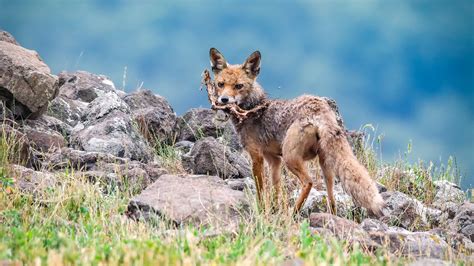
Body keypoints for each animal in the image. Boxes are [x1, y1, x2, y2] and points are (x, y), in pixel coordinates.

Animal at [208, 47, 386, 216]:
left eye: (238, 86)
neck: (252, 108)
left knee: (308, 182)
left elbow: (261, 190)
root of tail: (318, 107)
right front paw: (274, 210)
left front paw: (262, 210)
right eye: (221, 84)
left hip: (291, 157)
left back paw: (294, 212)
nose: (224, 100)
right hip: (325, 164)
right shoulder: (274, 160)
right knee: (332, 198)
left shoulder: (257, 156)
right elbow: (276, 189)